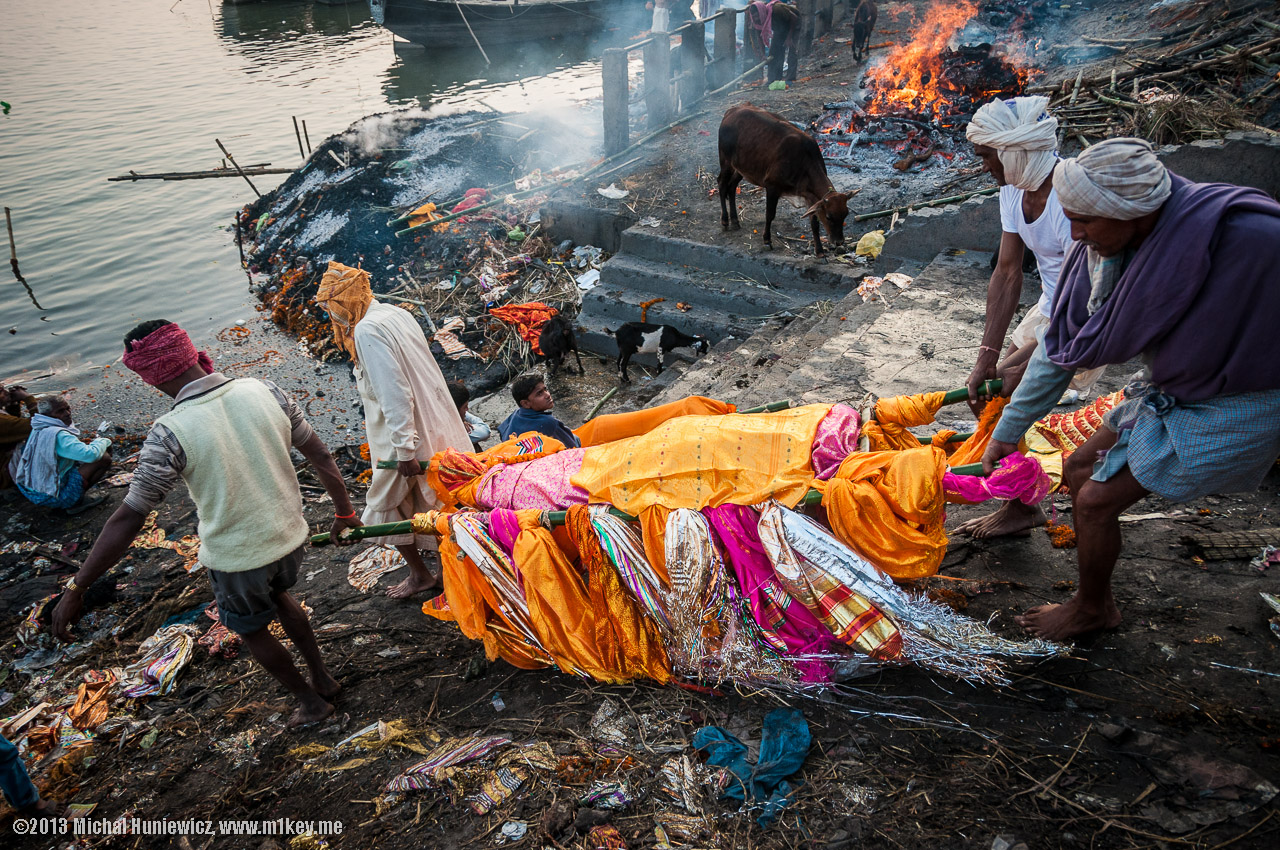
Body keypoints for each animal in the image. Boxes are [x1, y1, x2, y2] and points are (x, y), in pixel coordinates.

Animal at [716, 104, 855, 256]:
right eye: (829, 216)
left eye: (845, 214)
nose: (839, 242)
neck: (803, 161)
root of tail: (731, 111)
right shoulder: (772, 187)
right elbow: (770, 215)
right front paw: (767, 240)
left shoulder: (810, 197)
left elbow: (814, 222)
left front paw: (819, 251)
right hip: (726, 161)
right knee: (722, 184)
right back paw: (725, 221)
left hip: (741, 168)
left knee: (732, 187)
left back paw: (735, 220)